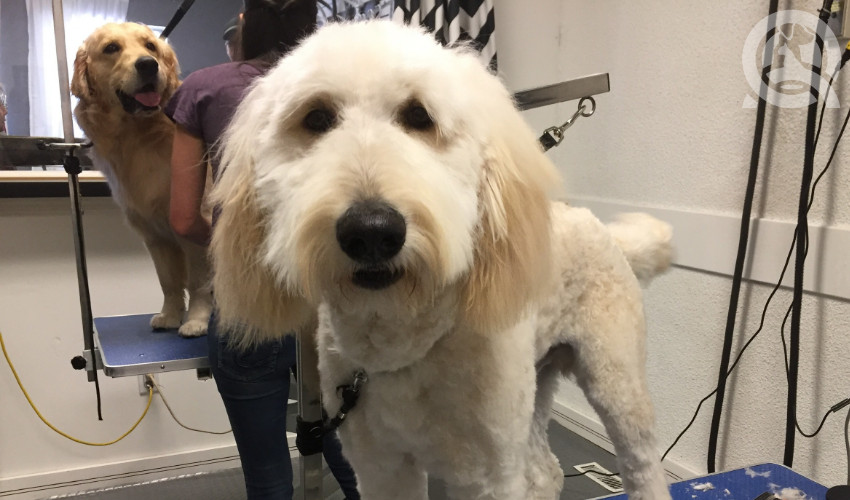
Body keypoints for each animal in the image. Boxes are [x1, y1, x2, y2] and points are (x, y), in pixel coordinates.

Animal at [210, 20, 668, 500]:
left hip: (616, 379)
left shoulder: (485, 474)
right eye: (316, 118)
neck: (400, 338)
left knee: (641, 463)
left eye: (418, 116)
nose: (371, 232)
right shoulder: (382, 467)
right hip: (534, 387)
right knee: (546, 469)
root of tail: (603, 228)